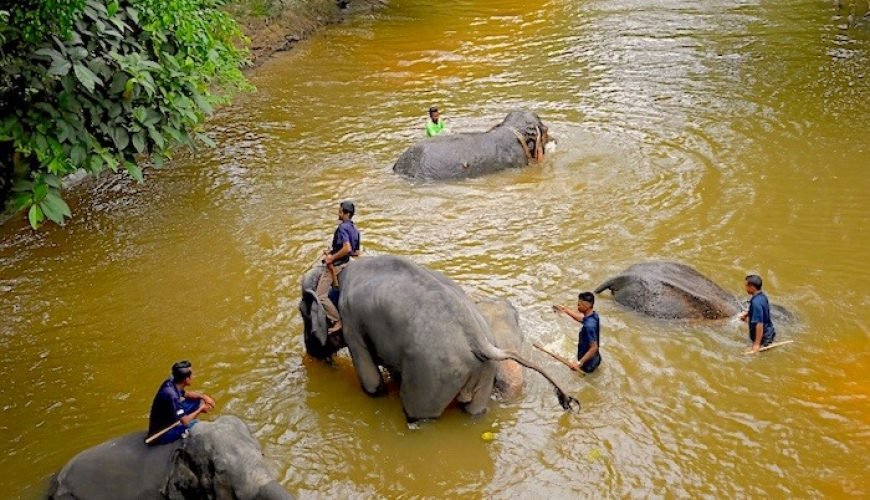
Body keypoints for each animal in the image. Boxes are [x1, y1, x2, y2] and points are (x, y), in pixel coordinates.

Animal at [299, 256, 578, 421]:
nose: (311, 355)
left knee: (418, 413)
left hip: (433, 374)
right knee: (475, 412)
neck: (336, 275)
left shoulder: (351, 321)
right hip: (483, 372)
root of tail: (480, 340)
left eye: (302, 313)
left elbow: (371, 381)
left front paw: (377, 392)